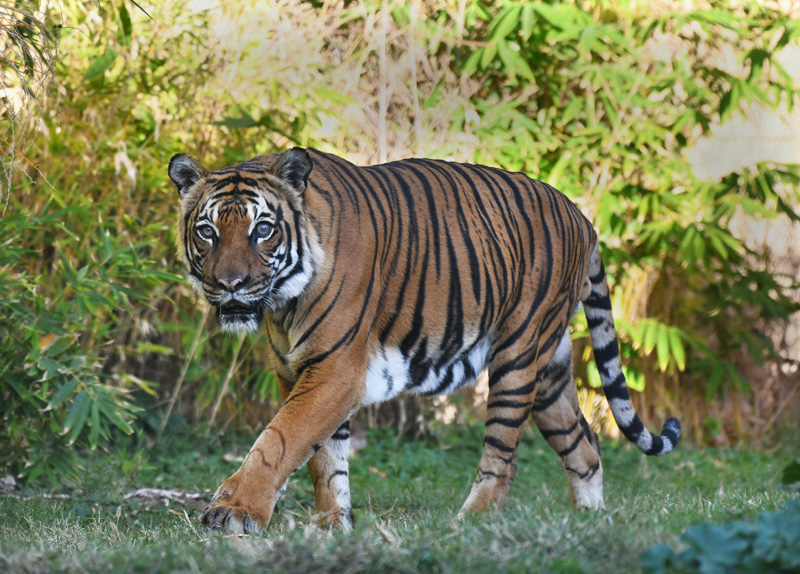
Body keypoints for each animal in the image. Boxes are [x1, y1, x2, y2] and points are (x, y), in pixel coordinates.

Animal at [168, 147, 681, 534]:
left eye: (263, 229)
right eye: (207, 232)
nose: (230, 285)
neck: (282, 303)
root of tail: (583, 217)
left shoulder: (336, 370)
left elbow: (280, 440)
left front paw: (236, 512)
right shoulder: (297, 369)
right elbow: (323, 458)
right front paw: (332, 525)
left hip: (517, 358)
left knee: (504, 456)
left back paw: (471, 521)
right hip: (550, 371)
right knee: (584, 443)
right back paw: (590, 522)